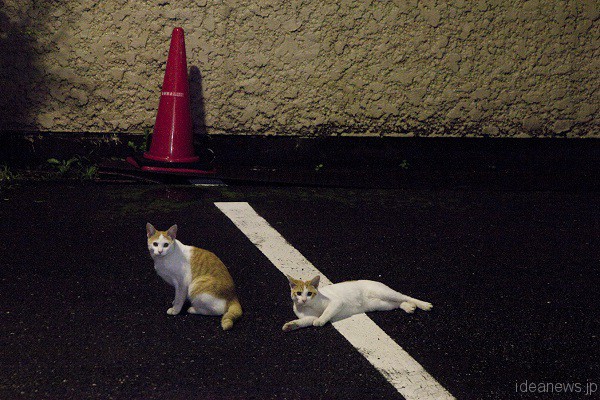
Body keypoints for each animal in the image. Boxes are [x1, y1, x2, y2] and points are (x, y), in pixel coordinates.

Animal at [282, 276, 432, 332]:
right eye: (298, 293)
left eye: (309, 293)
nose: (303, 300)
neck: (307, 306)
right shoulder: (309, 316)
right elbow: (304, 321)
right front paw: (290, 325)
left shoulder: (336, 302)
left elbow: (326, 312)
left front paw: (321, 321)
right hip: (382, 304)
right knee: (398, 303)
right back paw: (408, 307)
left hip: (385, 293)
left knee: (405, 296)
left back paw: (424, 304)